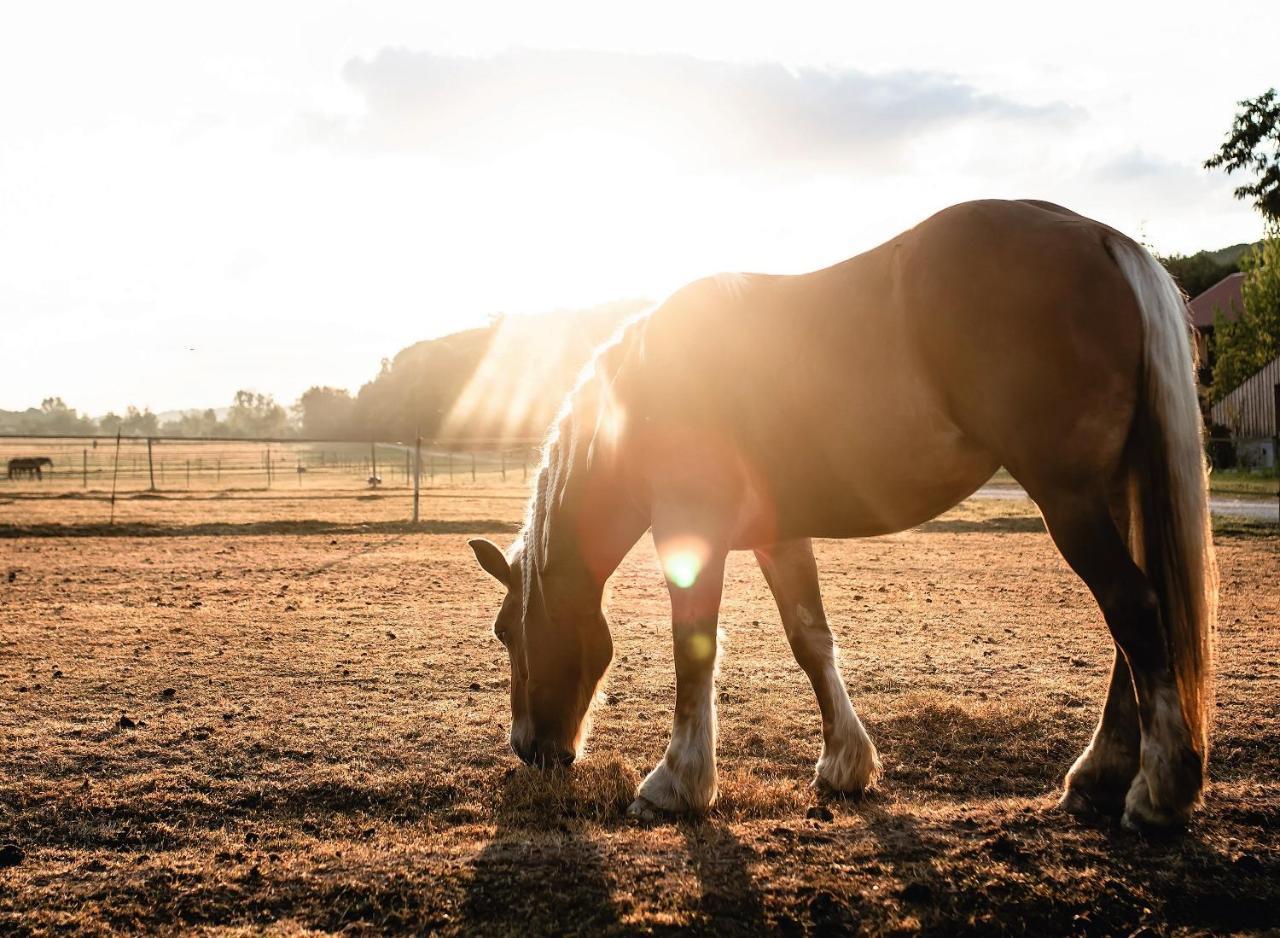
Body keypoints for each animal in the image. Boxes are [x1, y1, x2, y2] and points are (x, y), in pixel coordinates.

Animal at [465, 197, 1213, 829]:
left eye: (506, 632)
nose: (529, 748)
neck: (650, 389)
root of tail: (1099, 237)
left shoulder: (690, 528)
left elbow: (694, 648)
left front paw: (676, 784)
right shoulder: (778, 537)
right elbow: (809, 639)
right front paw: (845, 764)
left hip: (1070, 502)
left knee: (1134, 610)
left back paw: (1158, 790)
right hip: (1108, 498)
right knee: (1132, 632)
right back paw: (1100, 778)